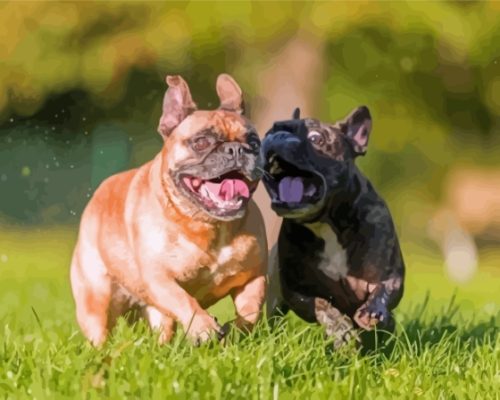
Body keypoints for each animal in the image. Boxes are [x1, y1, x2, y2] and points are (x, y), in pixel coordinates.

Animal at [70, 73, 268, 346]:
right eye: (201, 142)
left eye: (254, 143)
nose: (236, 149)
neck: (209, 225)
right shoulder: (159, 279)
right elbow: (184, 300)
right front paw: (205, 328)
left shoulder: (253, 276)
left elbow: (251, 310)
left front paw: (235, 330)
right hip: (96, 299)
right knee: (99, 332)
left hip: (155, 314)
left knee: (162, 330)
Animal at [262, 106, 406, 346]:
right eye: (268, 132)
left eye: (316, 139)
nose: (279, 133)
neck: (325, 223)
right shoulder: (296, 291)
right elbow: (322, 305)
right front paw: (340, 329)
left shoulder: (388, 276)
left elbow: (382, 292)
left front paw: (373, 312)